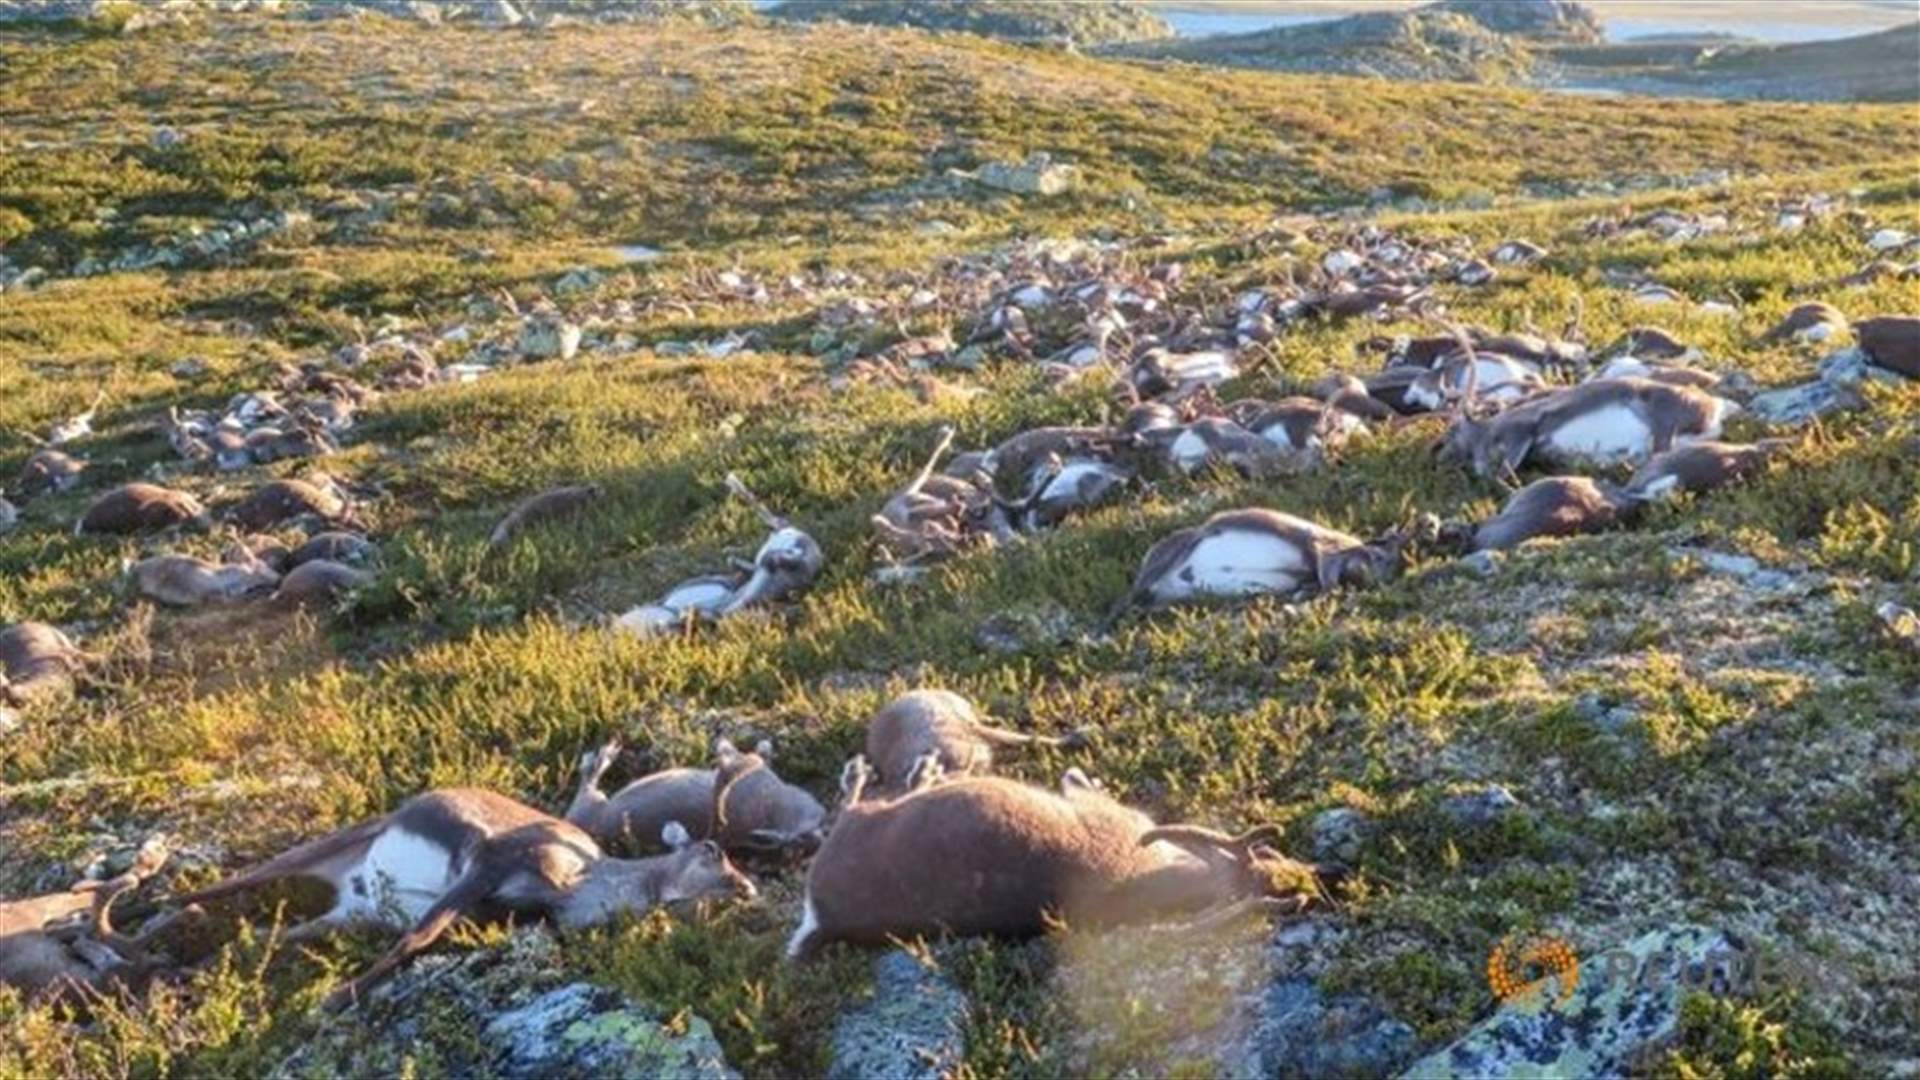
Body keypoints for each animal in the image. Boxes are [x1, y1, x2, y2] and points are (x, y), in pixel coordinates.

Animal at [171, 787, 759, 1011]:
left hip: (348, 915)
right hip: (324, 848)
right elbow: (416, 938)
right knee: (219, 889)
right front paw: (337, 997)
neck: (578, 882)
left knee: (259, 938)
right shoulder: (487, 862)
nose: (748, 890)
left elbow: (421, 936)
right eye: (712, 852)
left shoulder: (490, 904)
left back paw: (182, 969)